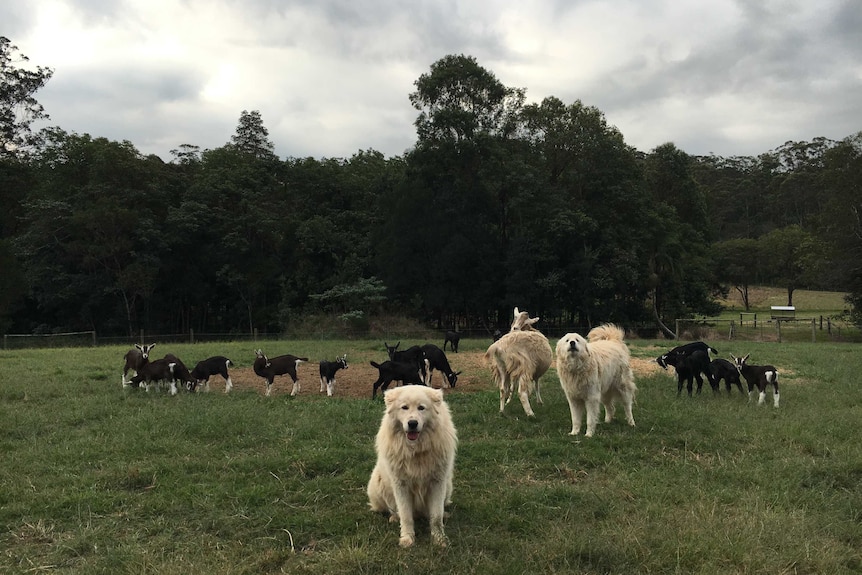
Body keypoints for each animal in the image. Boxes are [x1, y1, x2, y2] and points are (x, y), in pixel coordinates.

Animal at [366, 384, 460, 548]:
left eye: (421, 408)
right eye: (404, 407)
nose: (412, 424)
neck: (416, 450)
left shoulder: (437, 483)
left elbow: (436, 516)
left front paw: (439, 539)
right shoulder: (401, 485)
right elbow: (406, 515)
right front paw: (407, 539)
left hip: (448, 486)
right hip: (376, 483)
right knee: (392, 510)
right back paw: (394, 518)